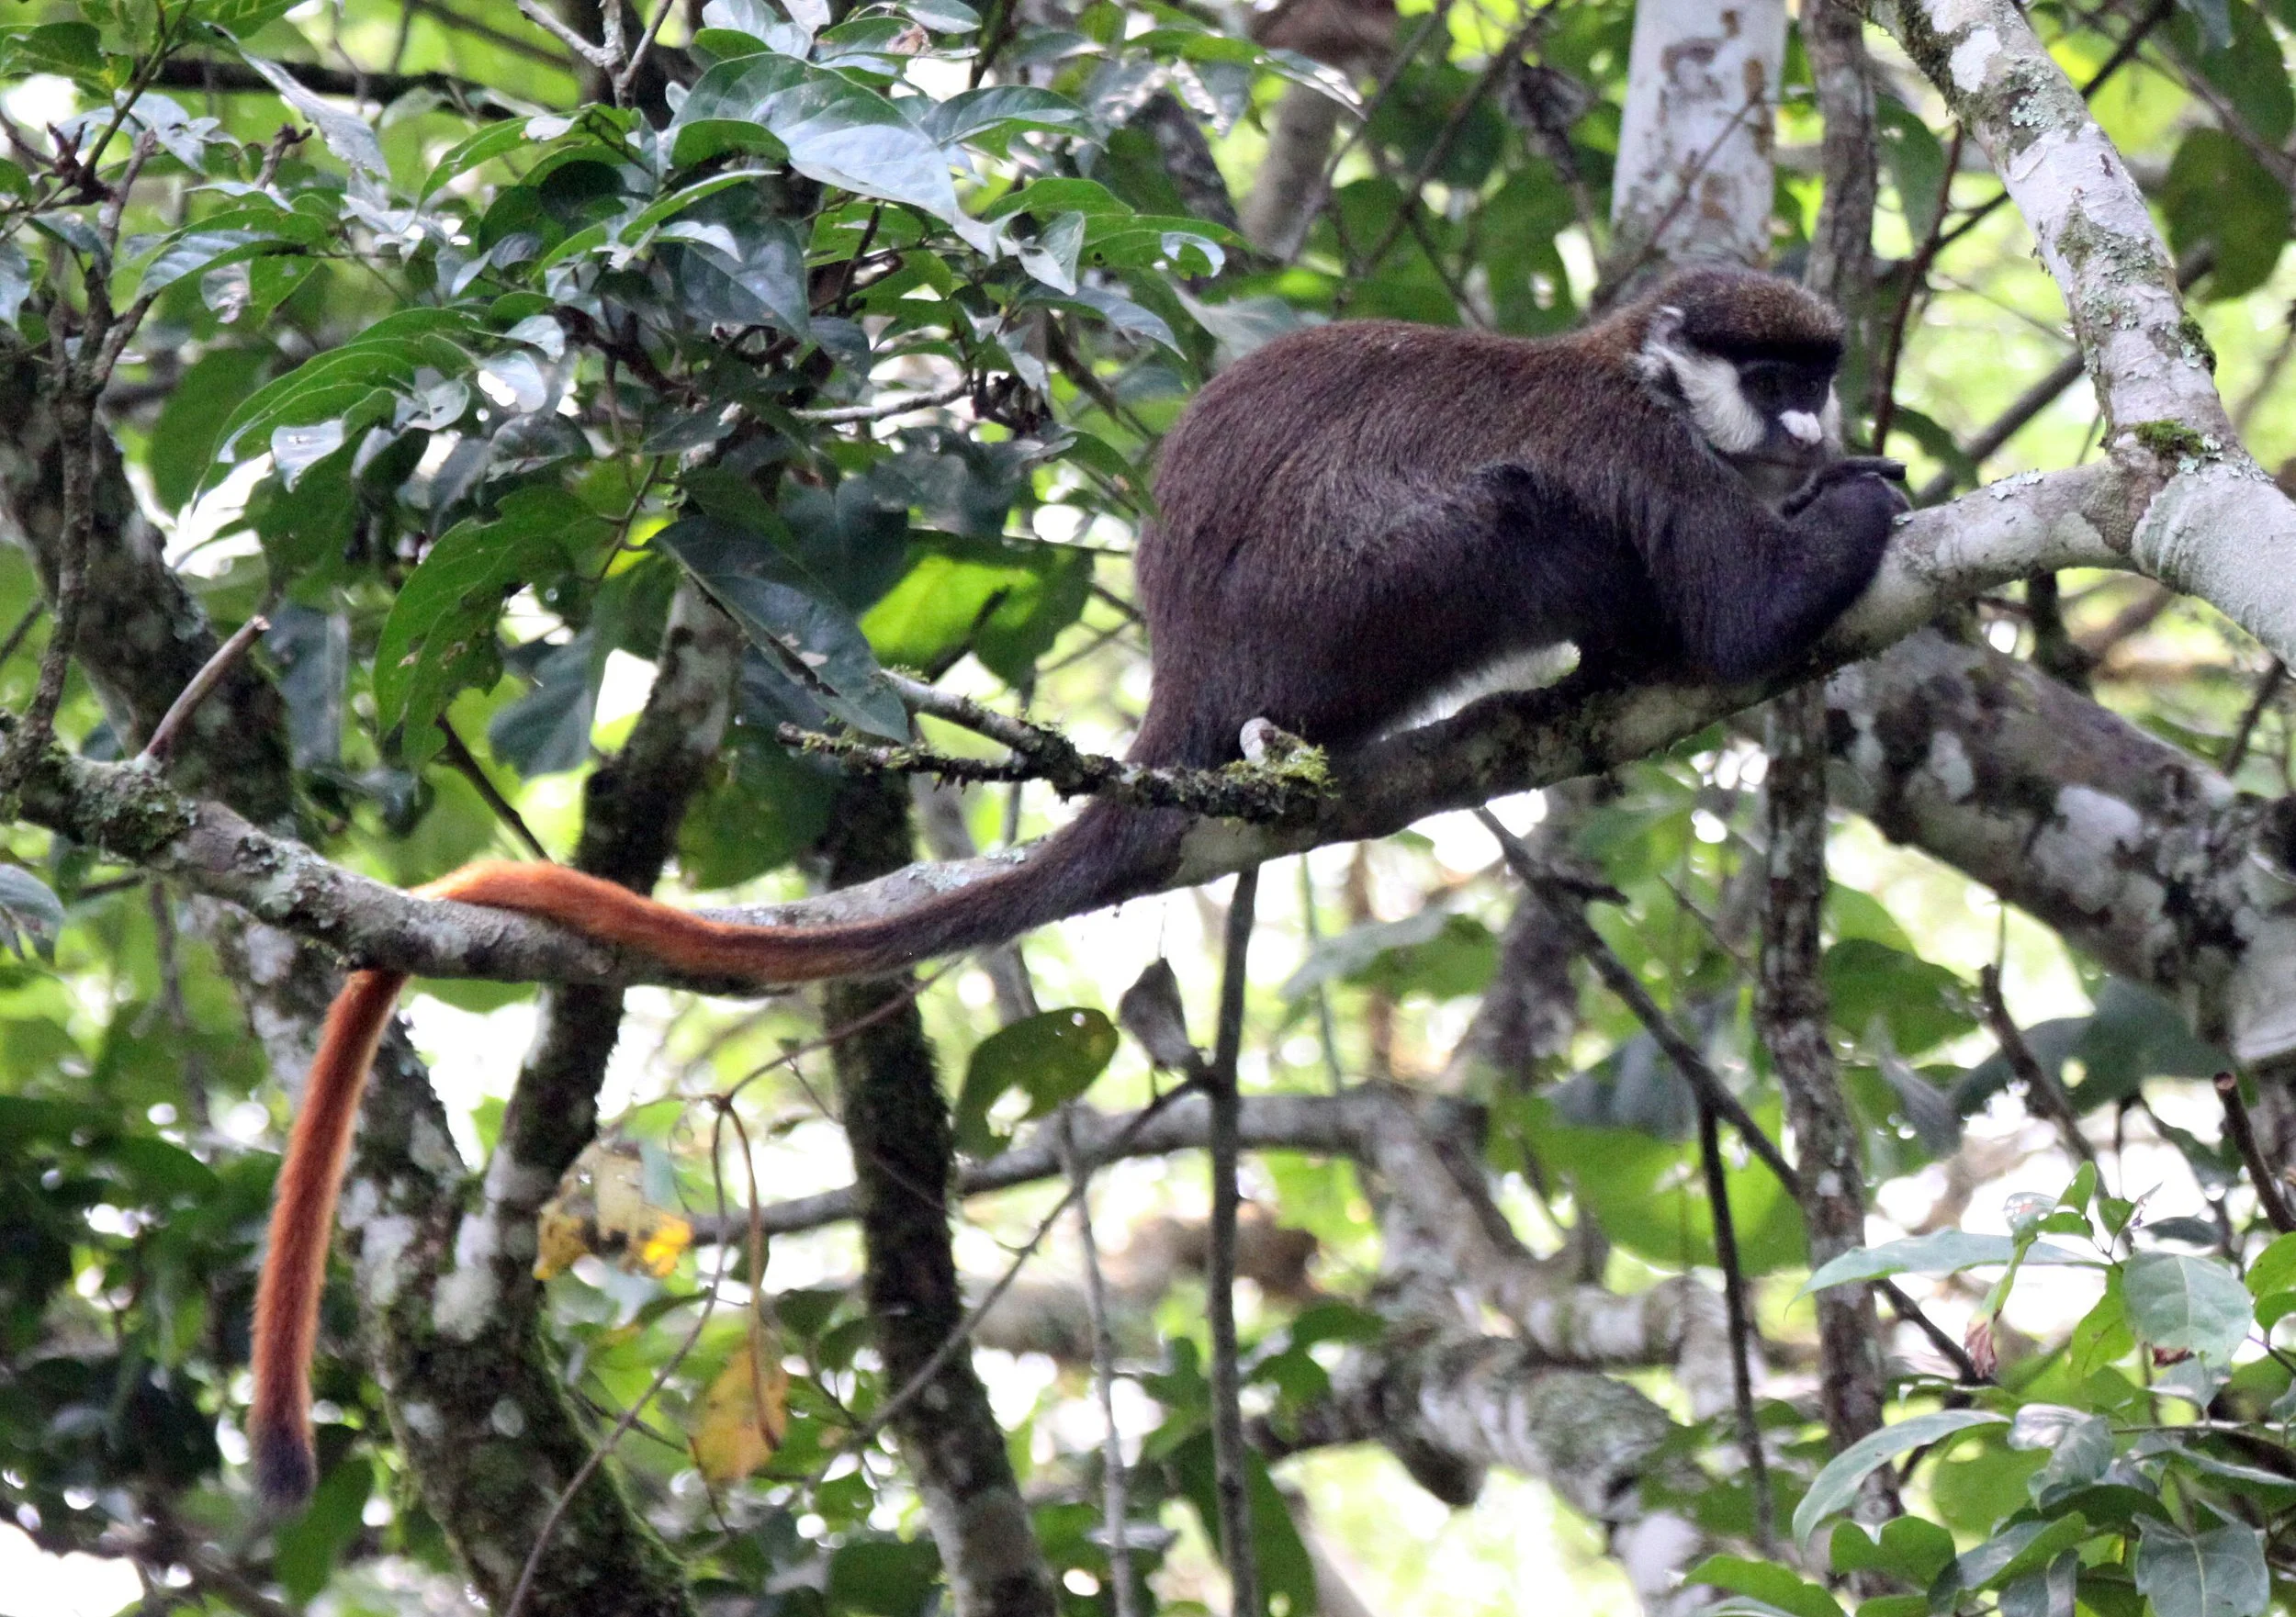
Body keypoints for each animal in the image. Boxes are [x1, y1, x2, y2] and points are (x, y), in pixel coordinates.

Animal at [248, 263, 1904, 1510]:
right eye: (1777, 375)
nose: (1818, 413)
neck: (1641, 379)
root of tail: (1189, 681)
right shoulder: (1627, 445)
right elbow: (1747, 612)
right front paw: (1864, 496)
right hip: (1378, 593)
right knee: (1530, 517)